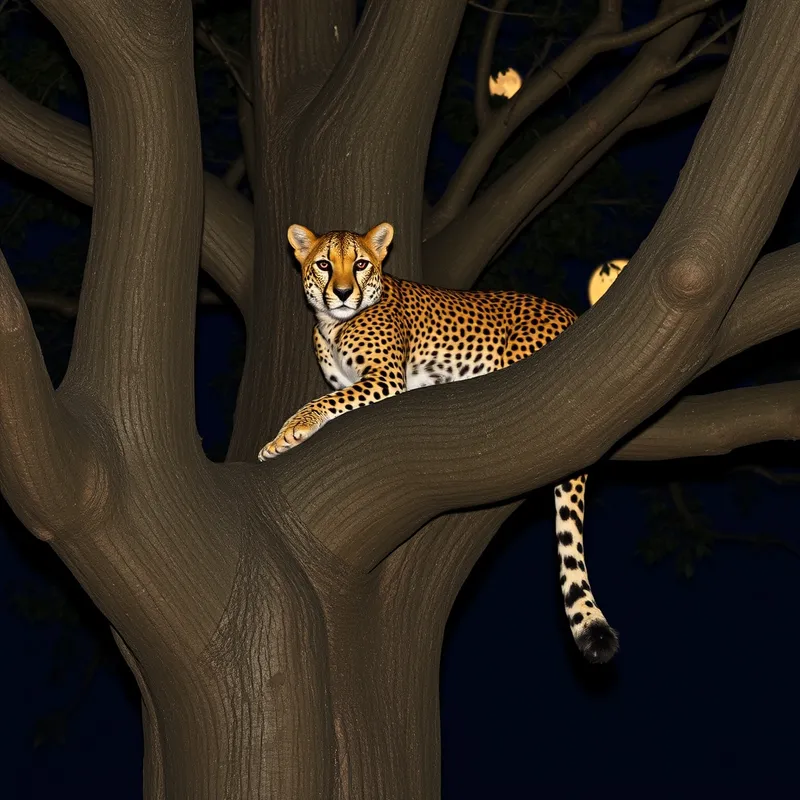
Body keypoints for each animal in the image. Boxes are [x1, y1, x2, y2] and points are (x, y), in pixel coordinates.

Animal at [259, 222, 619, 664]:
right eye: (324, 264)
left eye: (360, 264)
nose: (342, 293)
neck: (330, 323)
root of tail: (571, 314)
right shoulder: (355, 381)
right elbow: (332, 400)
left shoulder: (384, 380)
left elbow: (321, 402)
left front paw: (286, 435)